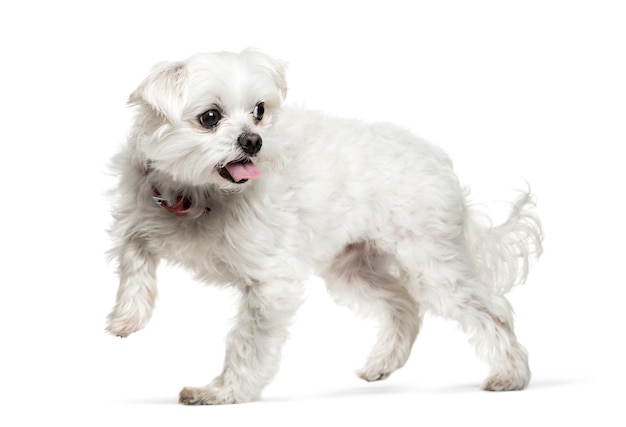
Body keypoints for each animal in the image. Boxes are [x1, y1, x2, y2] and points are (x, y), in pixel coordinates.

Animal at [106, 48, 540, 406]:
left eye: (259, 110)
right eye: (209, 117)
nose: (253, 141)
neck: (196, 193)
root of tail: (438, 161)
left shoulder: (270, 284)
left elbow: (247, 342)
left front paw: (225, 392)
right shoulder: (139, 216)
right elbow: (134, 256)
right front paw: (128, 317)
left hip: (432, 266)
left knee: (493, 311)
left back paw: (511, 375)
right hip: (353, 270)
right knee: (405, 305)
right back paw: (383, 363)